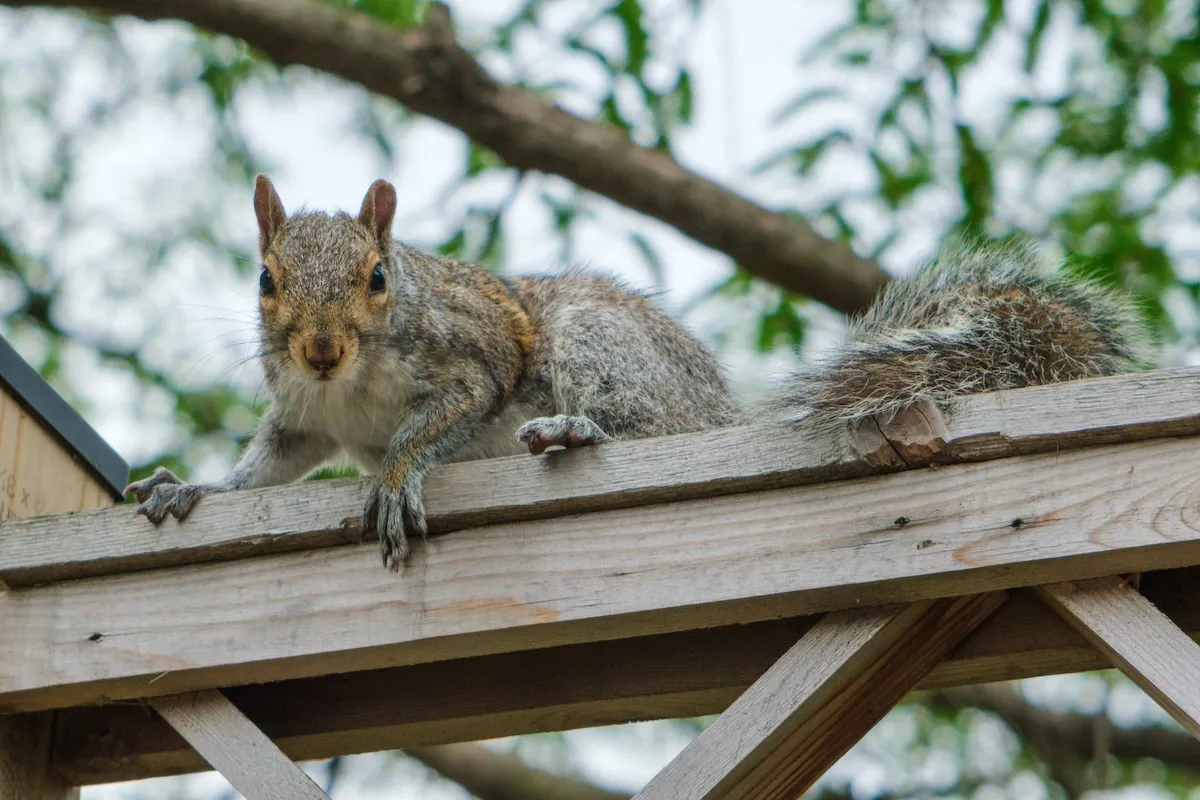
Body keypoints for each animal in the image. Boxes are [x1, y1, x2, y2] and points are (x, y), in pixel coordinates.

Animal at [124, 175, 741, 570]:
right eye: (265, 280)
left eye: (377, 277)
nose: (322, 353)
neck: (348, 385)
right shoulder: (306, 419)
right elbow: (266, 466)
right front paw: (194, 486)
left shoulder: (471, 369)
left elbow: (432, 427)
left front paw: (396, 479)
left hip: (600, 342)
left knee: (656, 426)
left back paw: (575, 429)